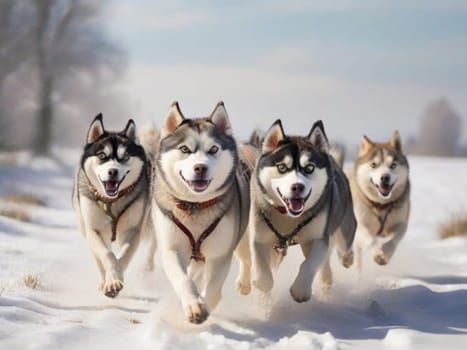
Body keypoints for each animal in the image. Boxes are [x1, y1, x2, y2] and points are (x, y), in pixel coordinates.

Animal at [73, 115, 153, 298]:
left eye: (125, 156)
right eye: (102, 155)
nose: (113, 171)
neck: (112, 201)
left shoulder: (133, 230)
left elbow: (123, 256)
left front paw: (115, 281)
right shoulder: (93, 229)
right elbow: (107, 254)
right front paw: (110, 282)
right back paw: (103, 281)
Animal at [153, 100, 252, 322]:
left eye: (213, 149)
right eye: (184, 149)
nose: (200, 168)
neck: (195, 206)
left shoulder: (220, 254)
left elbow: (214, 291)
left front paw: (204, 305)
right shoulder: (172, 248)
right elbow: (184, 280)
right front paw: (194, 304)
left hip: (243, 235)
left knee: (246, 257)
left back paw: (244, 283)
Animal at [238, 119, 354, 300]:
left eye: (309, 168)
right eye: (282, 167)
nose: (297, 187)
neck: (287, 217)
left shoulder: (318, 238)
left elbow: (309, 264)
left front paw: (300, 290)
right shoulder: (259, 235)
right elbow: (261, 267)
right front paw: (262, 283)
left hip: (343, 227)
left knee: (340, 249)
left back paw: (344, 261)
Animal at [350, 133, 412, 266]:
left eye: (393, 165)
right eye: (373, 165)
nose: (385, 177)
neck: (381, 205)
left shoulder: (400, 224)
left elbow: (393, 241)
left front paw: (385, 254)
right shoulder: (360, 227)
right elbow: (371, 240)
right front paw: (378, 253)